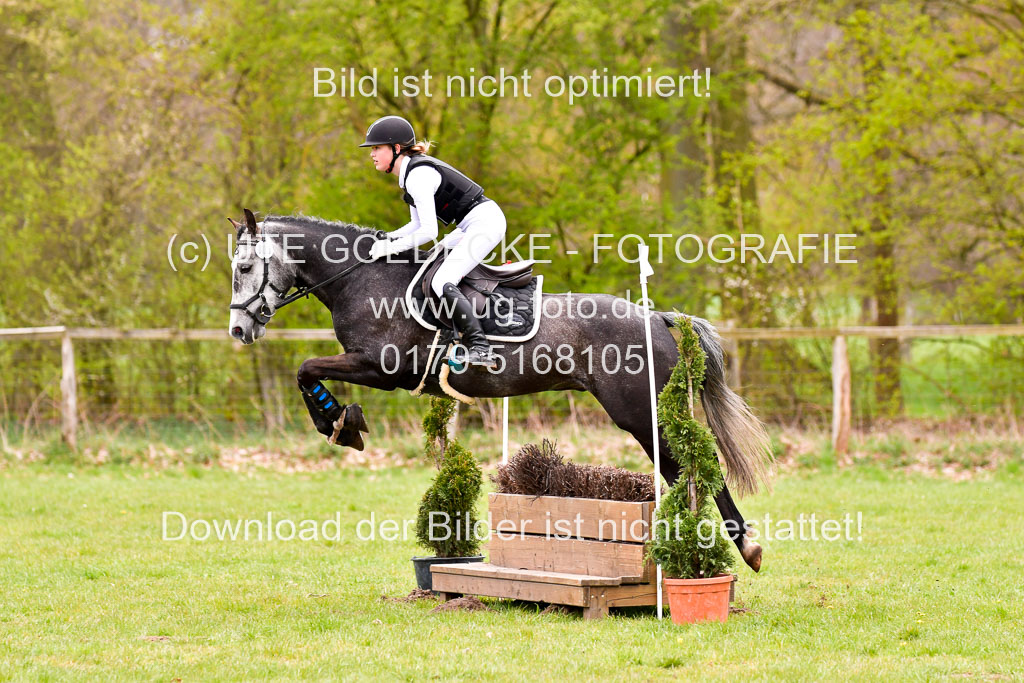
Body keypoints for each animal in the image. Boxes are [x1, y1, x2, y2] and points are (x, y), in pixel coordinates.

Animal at [228, 208, 770, 573]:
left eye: (244, 269)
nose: (238, 330)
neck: (362, 279)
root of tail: (659, 317)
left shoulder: (380, 367)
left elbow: (304, 369)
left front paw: (339, 424)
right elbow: (306, 371)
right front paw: (343, 422)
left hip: (639, 411)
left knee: (698, 464)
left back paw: (739, 548)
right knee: (685, 471)